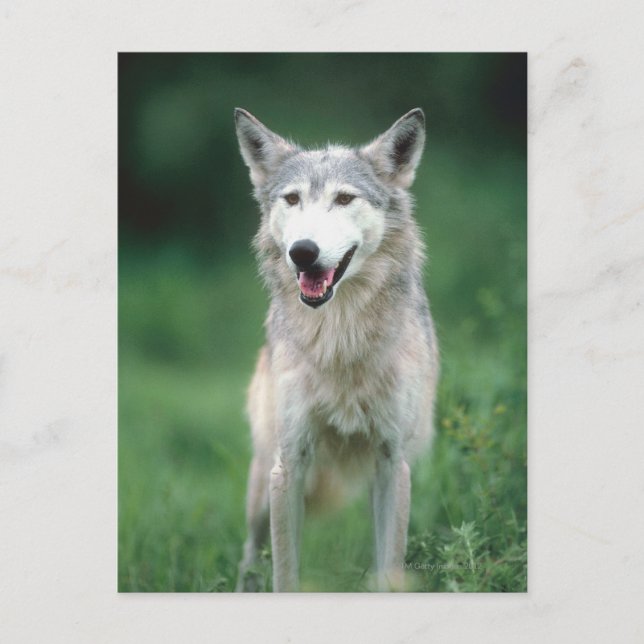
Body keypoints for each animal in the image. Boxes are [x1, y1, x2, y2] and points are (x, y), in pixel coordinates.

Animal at [234, 107, 439, 592]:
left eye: (344, 199)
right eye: (292, 199)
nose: (303, 252)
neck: (339, 338)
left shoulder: (392, 465)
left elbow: (388, 569)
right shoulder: (289, 466)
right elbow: (285, 574)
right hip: (261, 490)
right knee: (249, 558)